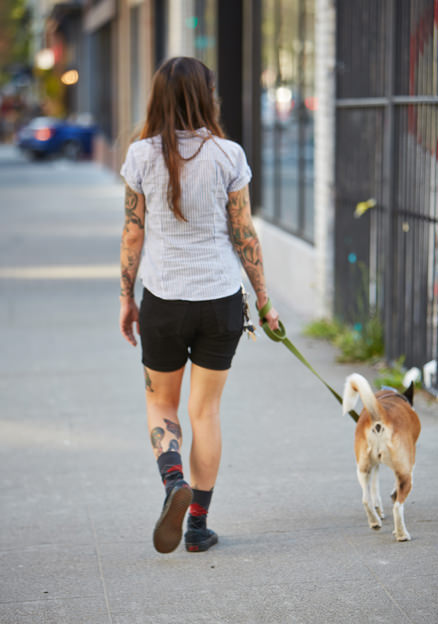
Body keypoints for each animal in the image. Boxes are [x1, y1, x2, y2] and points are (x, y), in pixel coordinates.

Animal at [342, 372, 420, 540]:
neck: (391, 395)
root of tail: (380, 415)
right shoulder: (407, 465)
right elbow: (394, 493)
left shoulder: (375, 465)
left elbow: (375, 488)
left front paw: (379, 509)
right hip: (406, 474)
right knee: (397, 506)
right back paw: (401, 534)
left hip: (363, 469)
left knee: (366, 499)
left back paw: (375, 522)